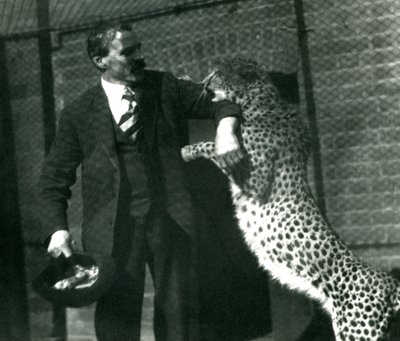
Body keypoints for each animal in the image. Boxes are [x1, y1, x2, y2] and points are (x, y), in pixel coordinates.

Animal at [183, 58, 400, 340]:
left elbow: (213, 147)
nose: (206, 78)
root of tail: (390, 282)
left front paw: (188, 150)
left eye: (218, 72)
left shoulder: (256, 179)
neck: (257, 101)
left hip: (357, 332)